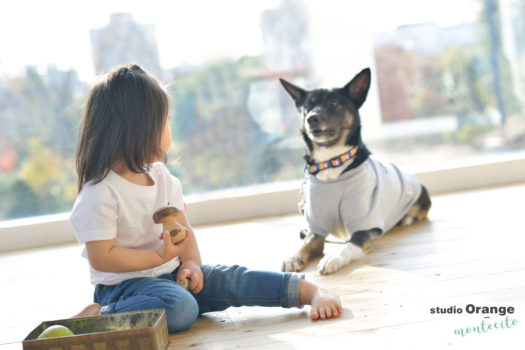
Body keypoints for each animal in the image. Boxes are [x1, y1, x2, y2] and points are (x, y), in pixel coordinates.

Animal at [278, 67, 430, 276]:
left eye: (333, 103)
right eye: (307, 106)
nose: (312, 118)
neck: (332, 163)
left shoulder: (364, 226)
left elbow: (349, 245)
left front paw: (333, 258)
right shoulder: (316, 228)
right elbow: (306, 243)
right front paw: (292, 257)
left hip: (420, 194)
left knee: (421, 211)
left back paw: (406, 219)